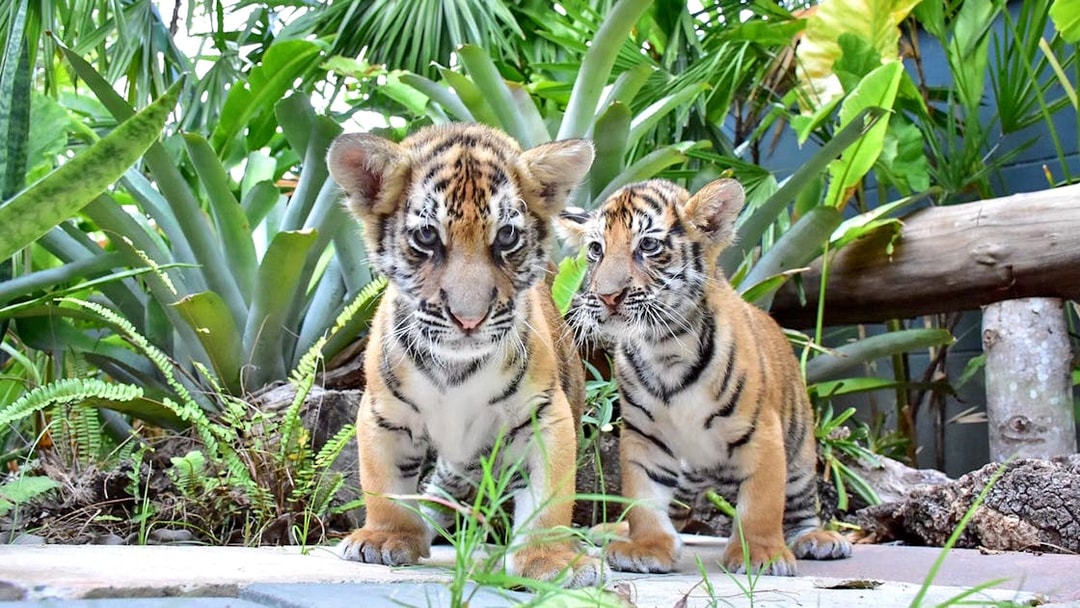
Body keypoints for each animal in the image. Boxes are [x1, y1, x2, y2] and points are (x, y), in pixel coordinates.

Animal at [325, 123, 600, 587]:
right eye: (426, 237)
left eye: (506, 236)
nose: (468, 318)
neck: (456, 367)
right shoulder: (383, 413)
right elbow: (383, 481)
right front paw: (384, 539)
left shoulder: (545, 416)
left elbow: (549, 498)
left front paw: (551, 560)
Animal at [557, 178, 852, 576]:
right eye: (595, 250)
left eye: (648, 245)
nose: (607, 296)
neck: (663, 347)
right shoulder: (644, 436)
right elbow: (643, 498)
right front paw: (646, 548)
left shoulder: (762, 433)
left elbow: (761, 504)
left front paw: (760, 555)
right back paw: (613, 531)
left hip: (801, 453)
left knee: (801, 507)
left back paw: (817, 540)